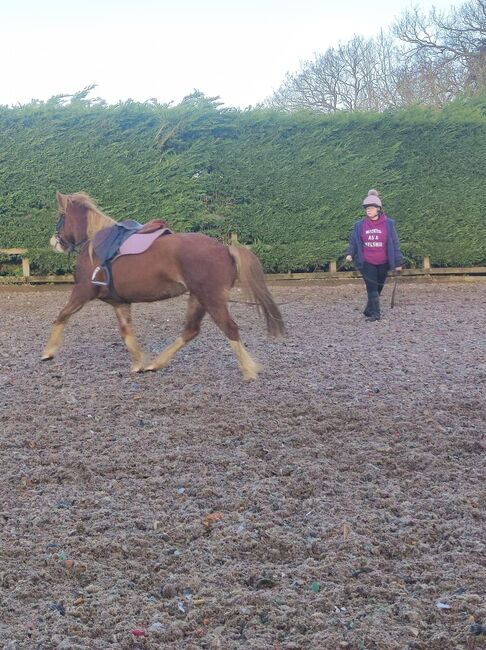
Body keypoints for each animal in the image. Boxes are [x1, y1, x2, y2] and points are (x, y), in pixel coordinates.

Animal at [42, 190, 284, 378]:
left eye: (61, 216)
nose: (55, 242)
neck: (96, 244)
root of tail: (225, 248)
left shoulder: (82, 291)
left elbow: (62, 315)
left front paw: (48, 352)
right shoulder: (120, 303)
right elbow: (126, 332)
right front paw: (138, 362)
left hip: (210, 298)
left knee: (229, 328)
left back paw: (249, 370)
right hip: (197, 298)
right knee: (191, 330)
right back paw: (155, 364)